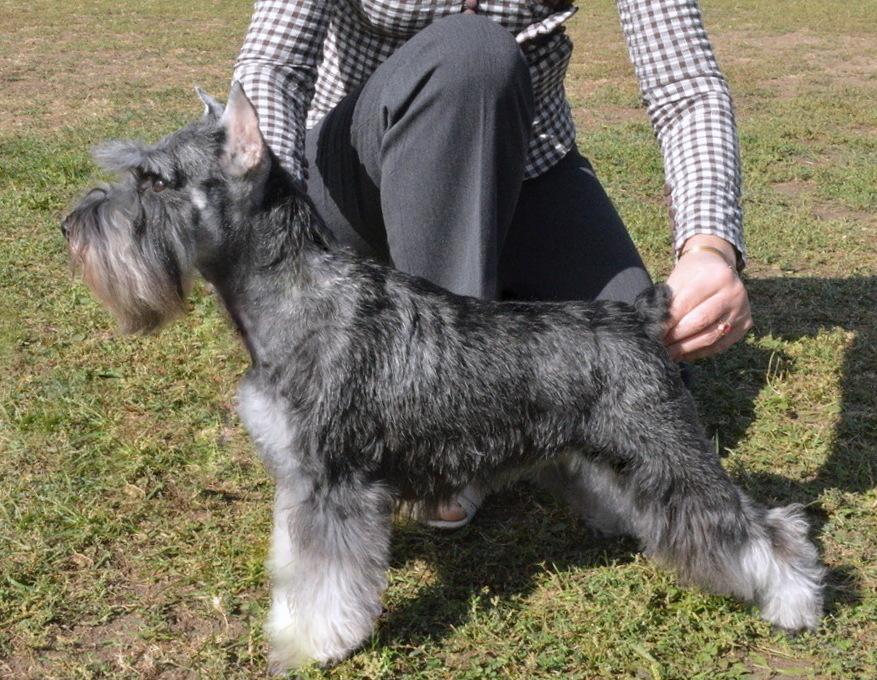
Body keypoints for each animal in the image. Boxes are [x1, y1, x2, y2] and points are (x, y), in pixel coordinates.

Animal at [61, 84, 825, 673]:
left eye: (156, 180)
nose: (72, 225)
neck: (294, 295)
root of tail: (640, 314)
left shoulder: (336, 484)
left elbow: (323, 579)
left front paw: (312, 643)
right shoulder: (300, 479)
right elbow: (294, 559)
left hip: (667, 454)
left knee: (762, 528)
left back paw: (795, 600)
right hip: (608, 452)